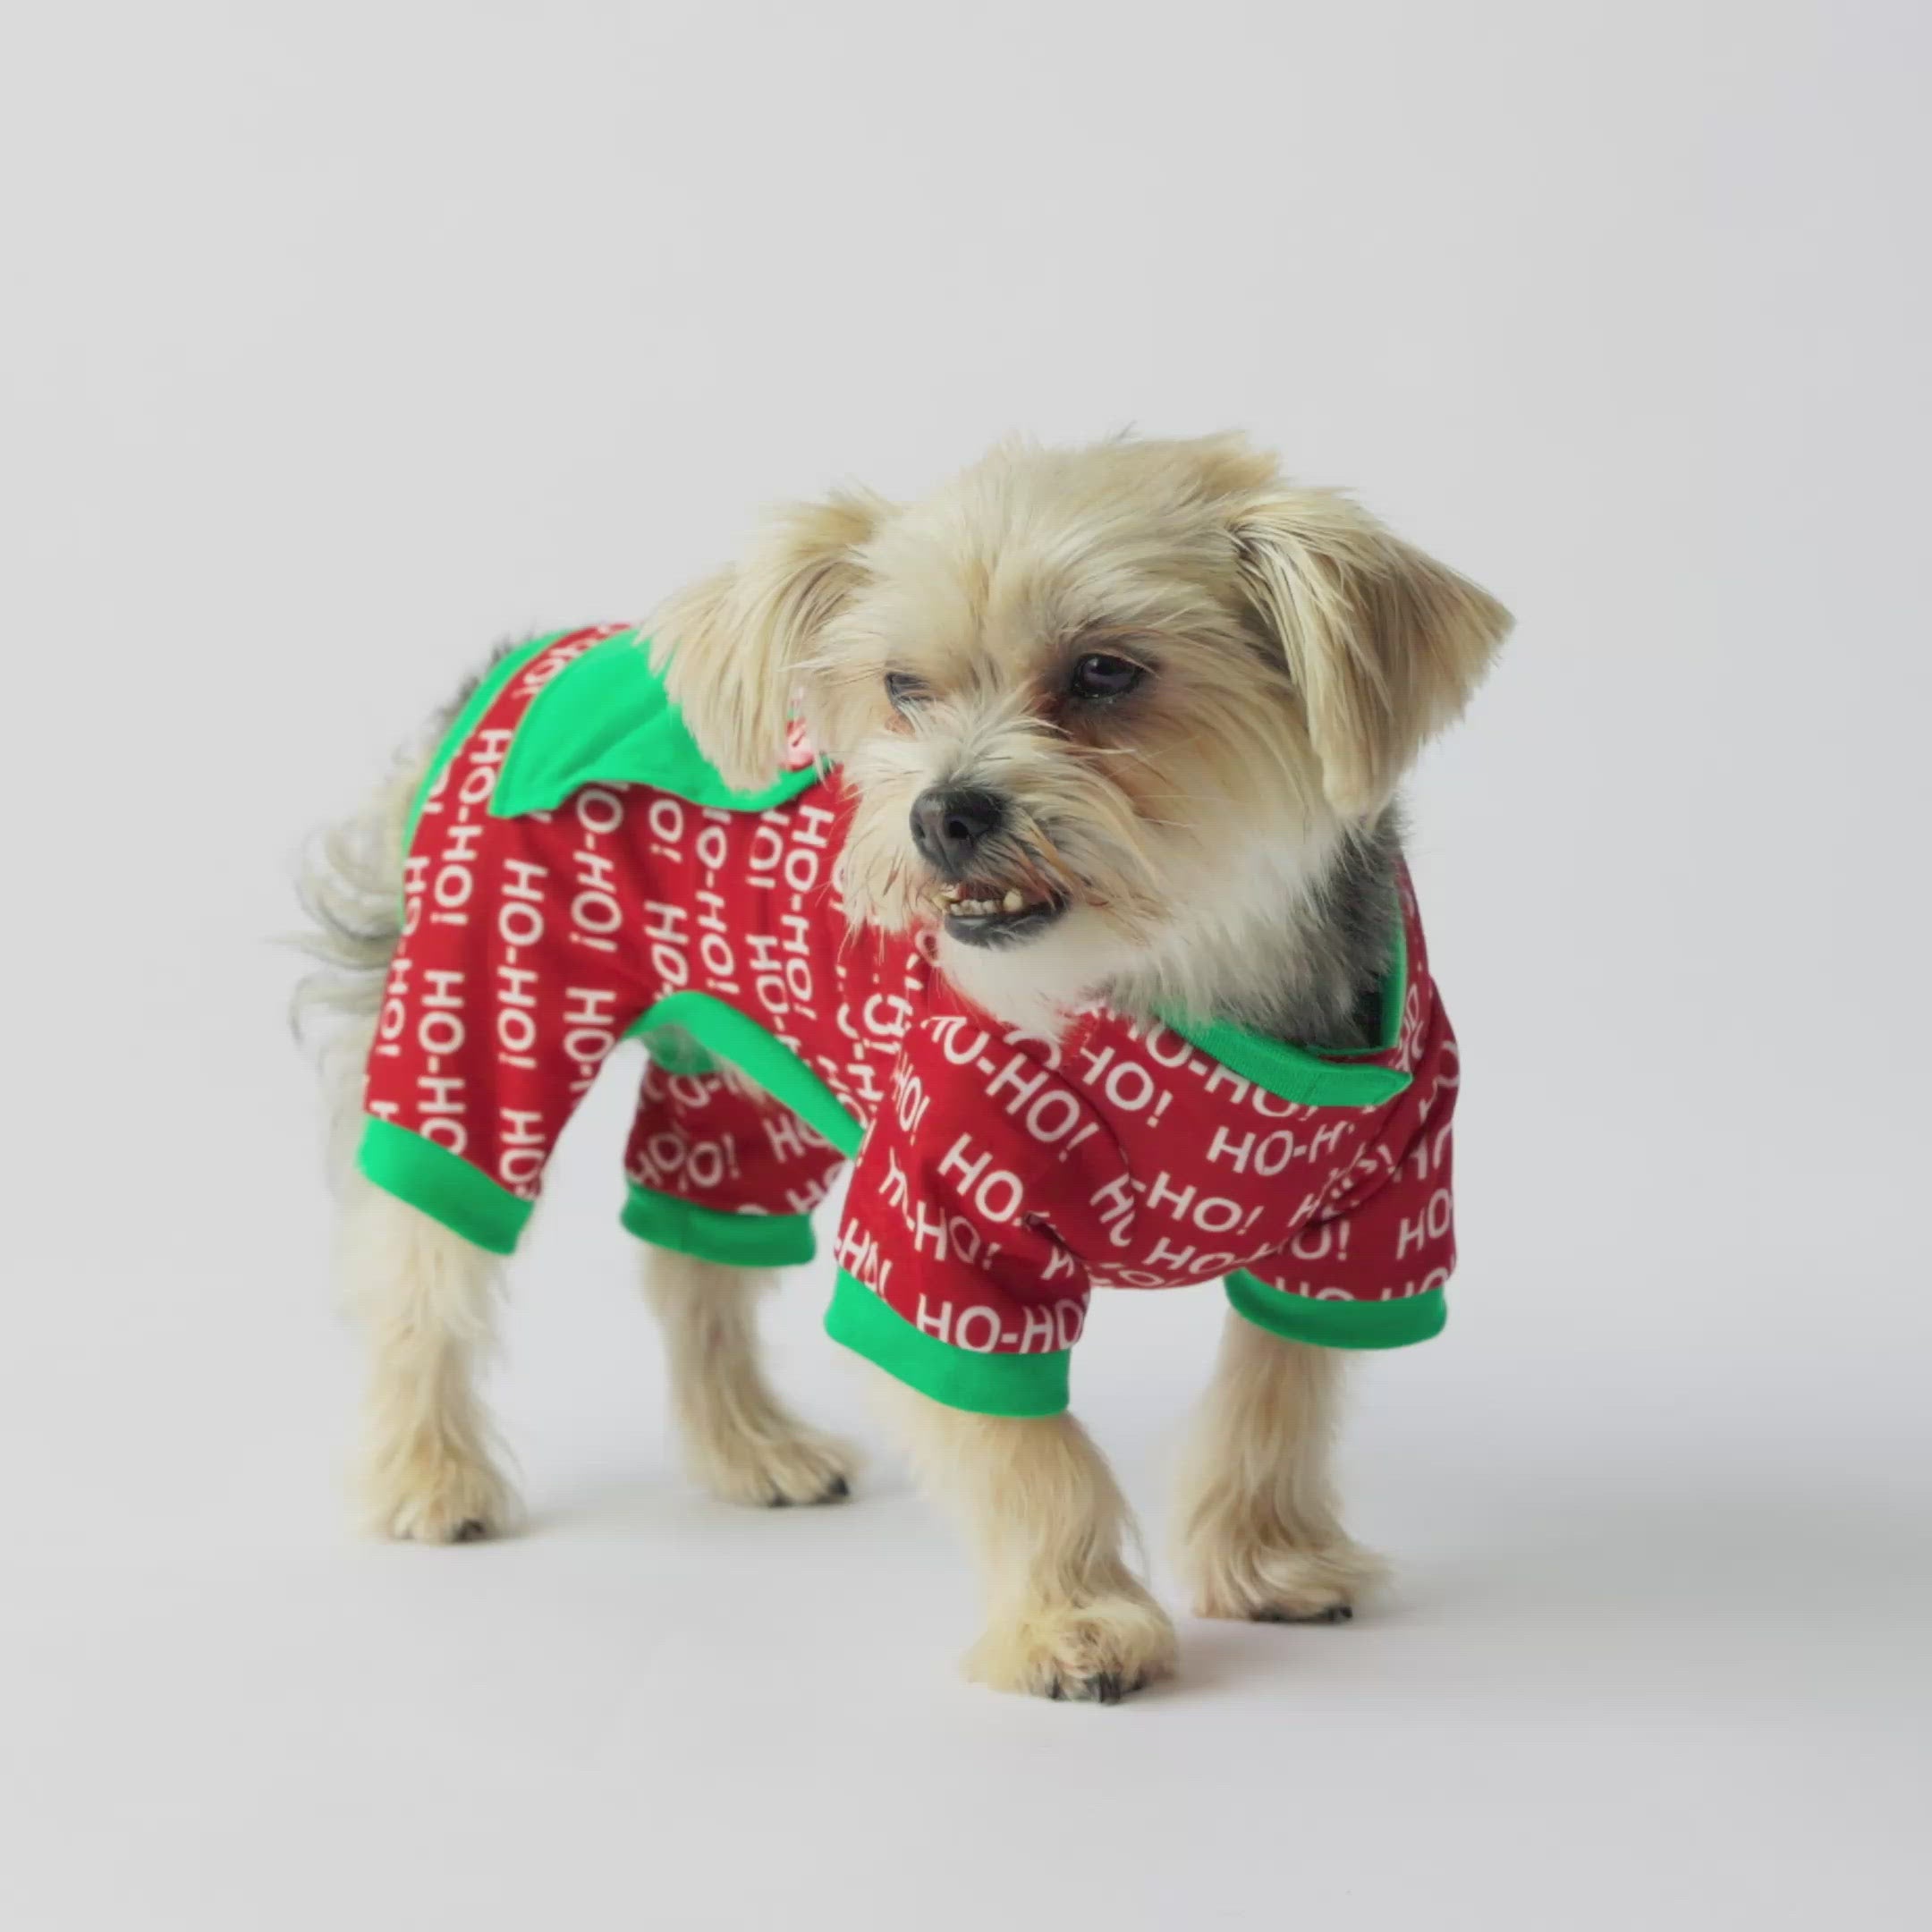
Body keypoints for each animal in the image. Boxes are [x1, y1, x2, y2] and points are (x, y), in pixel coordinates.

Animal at [297, 430, 1506, 1699]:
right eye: (903, 688)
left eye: (1106, 672)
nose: (944, 813)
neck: (1179, 973)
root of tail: (532, 660)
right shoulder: (940, 1218)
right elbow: (1026, 1449)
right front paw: (1073, 1623)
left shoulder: (1374, 1227)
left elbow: (1279, 1394)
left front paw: (1271, 1560)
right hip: (480, 1009)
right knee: (422, 1254)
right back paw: (427, 1475)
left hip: (750, 1067)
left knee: (695, 1253)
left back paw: (750, 1446)